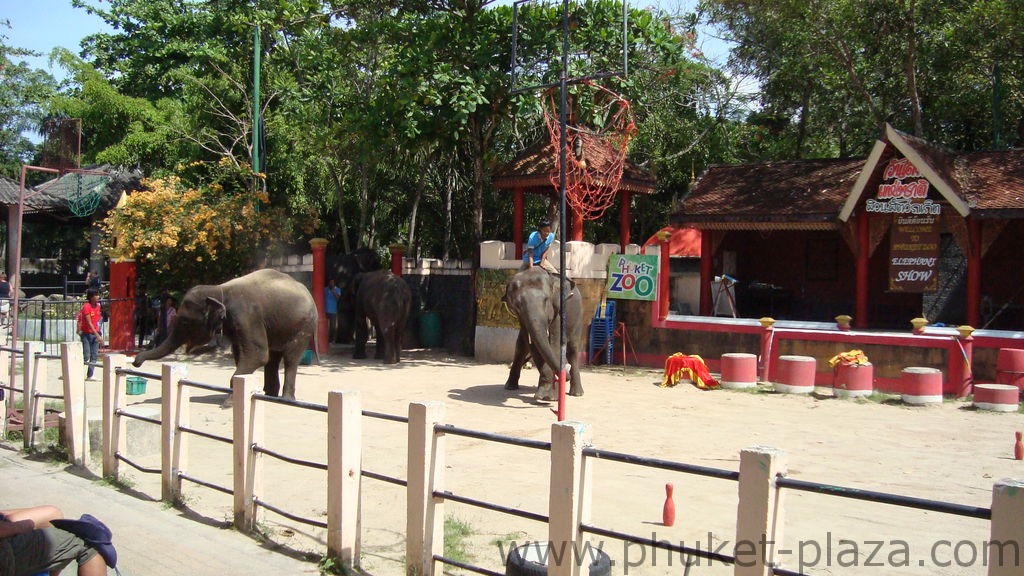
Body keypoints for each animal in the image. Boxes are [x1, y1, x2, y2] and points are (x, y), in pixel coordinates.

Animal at [134, 268, 315, 403]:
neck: (218, 289)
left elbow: (257, 356)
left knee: (290, 358)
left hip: (304, 326)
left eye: (185, 321)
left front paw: (228, 403)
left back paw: (286, 399)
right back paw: (270, 396)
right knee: (273, 358)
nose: (136, 362)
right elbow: (242, 355)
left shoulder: (246, 316)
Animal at [503, 264, 585, 399]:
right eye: (516, 305)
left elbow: (554, 344)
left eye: (546, 300)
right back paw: (510, 387)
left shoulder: (559, 311)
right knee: (520, 346)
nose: (565, 376)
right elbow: (533, 345)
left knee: (572, 349)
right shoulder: (522, 318)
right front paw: (545, 394)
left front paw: (549, 396)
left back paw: (577, 393)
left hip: (578, 316)